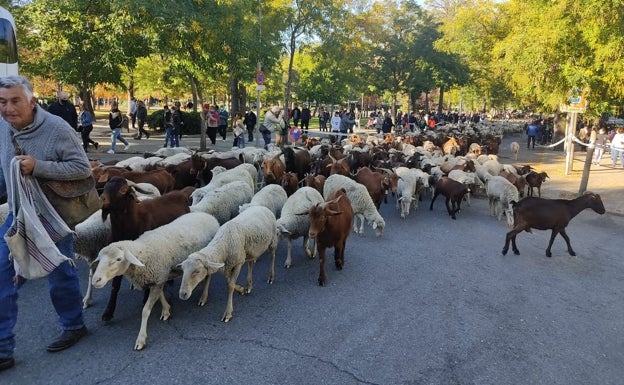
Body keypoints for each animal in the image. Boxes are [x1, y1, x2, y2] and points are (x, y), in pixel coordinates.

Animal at [91, 212, 219, 350]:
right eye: (100, 259)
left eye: (119, 259)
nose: (95, 280)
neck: (144, 251)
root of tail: (206, 214)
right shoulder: (158, 279)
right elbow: (160, 295)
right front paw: (166, 310)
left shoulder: (158, 278)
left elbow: (145, 311)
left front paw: (141, 339)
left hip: (207, 258)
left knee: (208, 276)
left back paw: (203, 297)